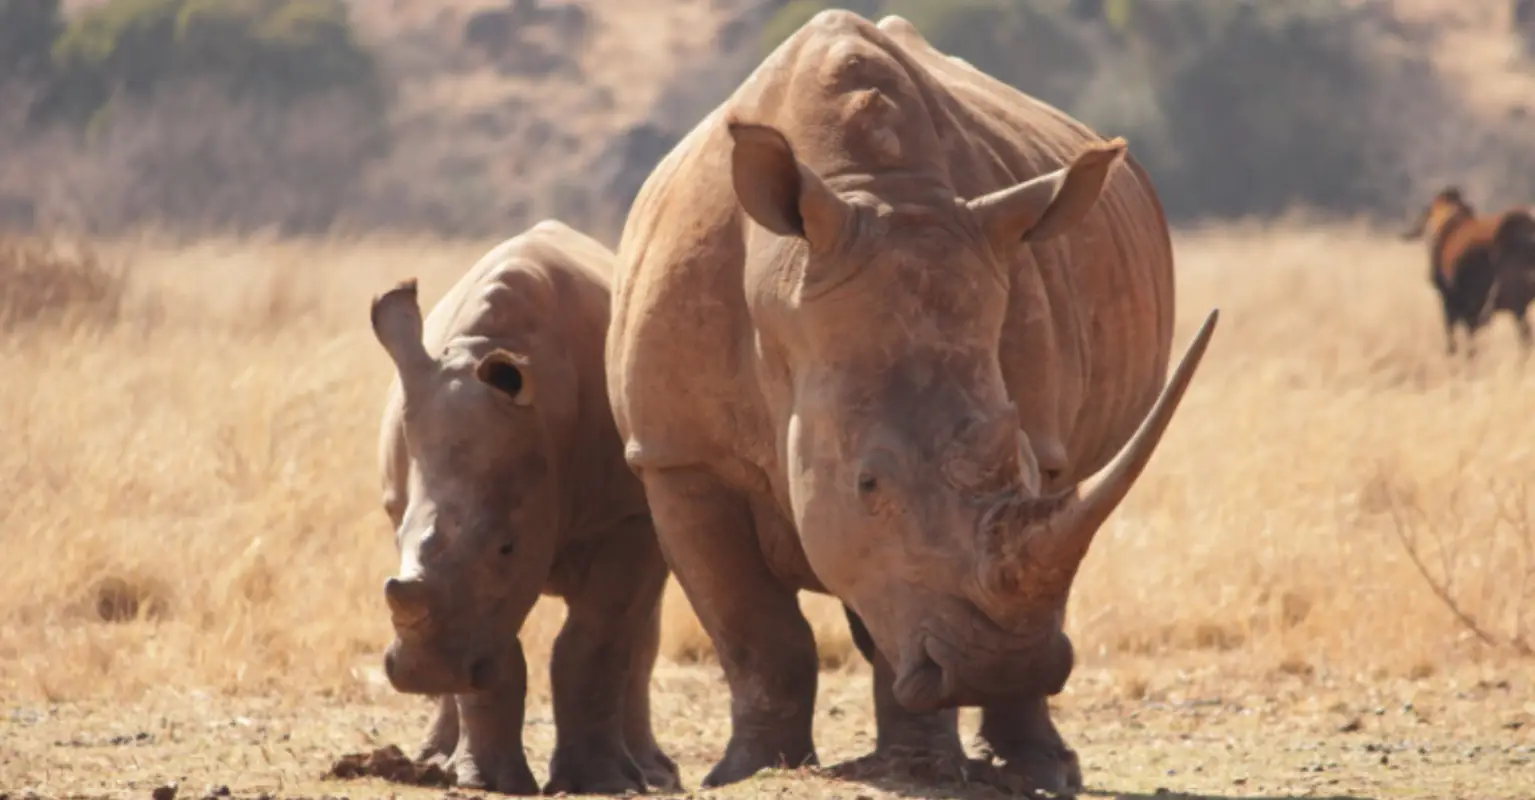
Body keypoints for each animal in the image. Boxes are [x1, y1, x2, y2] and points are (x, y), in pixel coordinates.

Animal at [370, 220, 680, 794]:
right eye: (396, 536)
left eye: (507, 548)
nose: (424, 673)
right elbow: (495, 649)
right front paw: (486, 782)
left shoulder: (628, 517)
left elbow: (595, 641)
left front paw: (602, 783)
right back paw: (435, 760)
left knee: (640, 629)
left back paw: (652, 774)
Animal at [605, 10, 1218, 796]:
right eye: (868, 482)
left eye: (1024, 465)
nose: (997, 666)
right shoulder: (677, 456)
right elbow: (753, 627)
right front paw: (749, 770)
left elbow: (901, 603)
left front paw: (916, 768)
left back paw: (1040, 767)